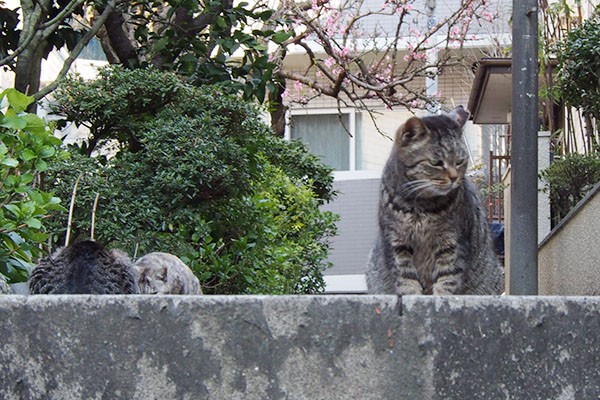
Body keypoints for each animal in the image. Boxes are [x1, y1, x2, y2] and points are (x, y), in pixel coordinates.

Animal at [368, 105, 504, 294]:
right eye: (435, 162)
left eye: (460, 161)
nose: (454, 178)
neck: (420, 207)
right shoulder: (398, 245)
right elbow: (406, 282)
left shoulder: (451, 245)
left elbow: (447, 282)